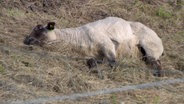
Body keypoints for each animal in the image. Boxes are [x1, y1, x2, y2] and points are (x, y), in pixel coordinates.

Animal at [24, 16, 164, 77]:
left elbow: (113, 63)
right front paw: (98, 72)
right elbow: (92, 63)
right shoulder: (96, 55)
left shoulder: (107, 45)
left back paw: (158, 75)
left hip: (151, 48)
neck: (77, 38)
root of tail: (159, 38)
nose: (26, 40)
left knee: (157, 64)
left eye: (39, 29)